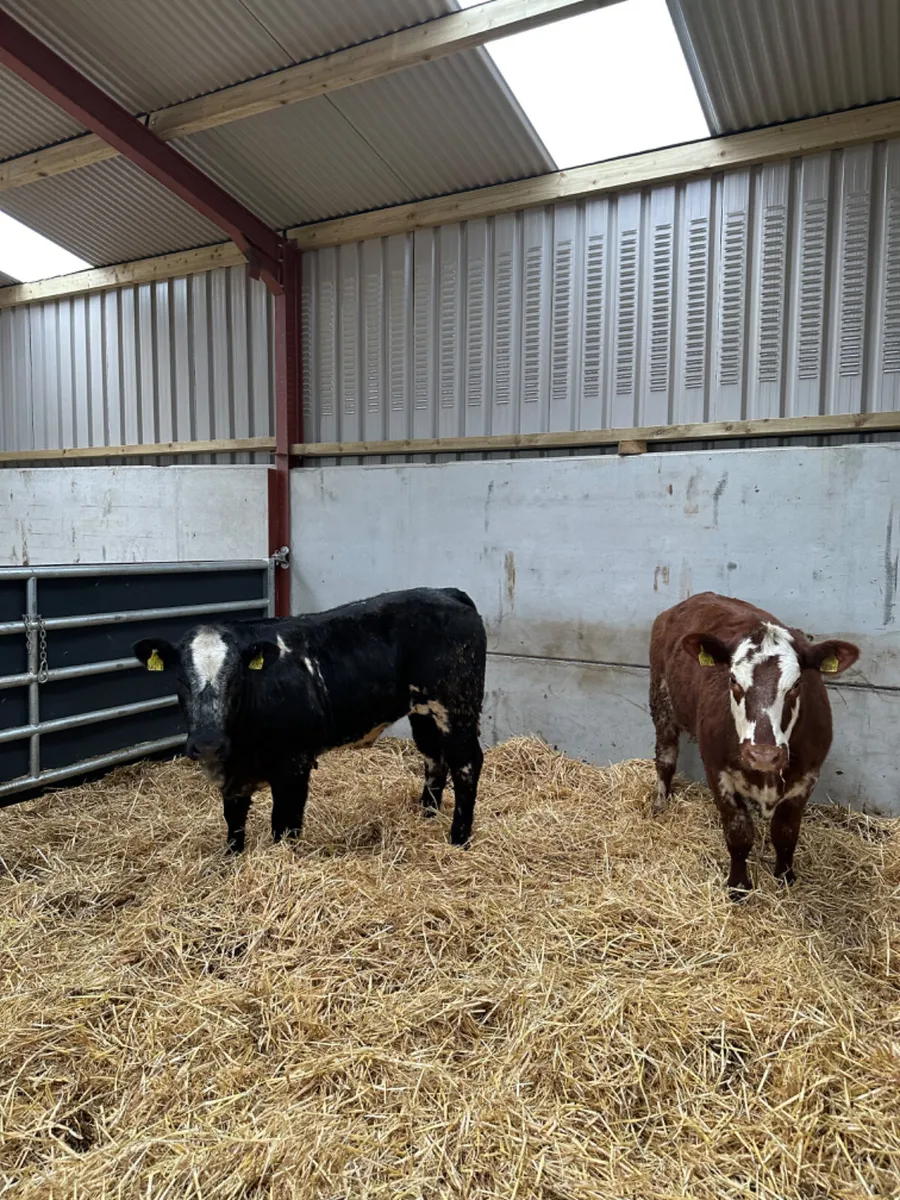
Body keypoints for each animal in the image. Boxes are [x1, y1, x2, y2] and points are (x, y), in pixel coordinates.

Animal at [133, 588, 486, 854]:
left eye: (236, 679)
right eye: (180, 679)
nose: (208, 743)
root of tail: (446, 592)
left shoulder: (294, 764)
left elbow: (284, 825)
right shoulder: (233, 775)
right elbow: (234, 822)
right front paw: (230, 861)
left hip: (457, 707)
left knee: (467, 764)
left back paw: (459, 839)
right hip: (423, 712)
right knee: (434, 758)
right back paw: (427, 815)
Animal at [649, 592, 859, 897]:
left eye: (797, 683)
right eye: (733, 680)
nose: (762, 755)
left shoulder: (808, 776)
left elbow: (786, 833)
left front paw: (785, 877)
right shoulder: (717, 771)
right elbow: (738, 833)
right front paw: (738, 885)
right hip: (661, 698)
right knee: (665, 758)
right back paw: (661, 802)